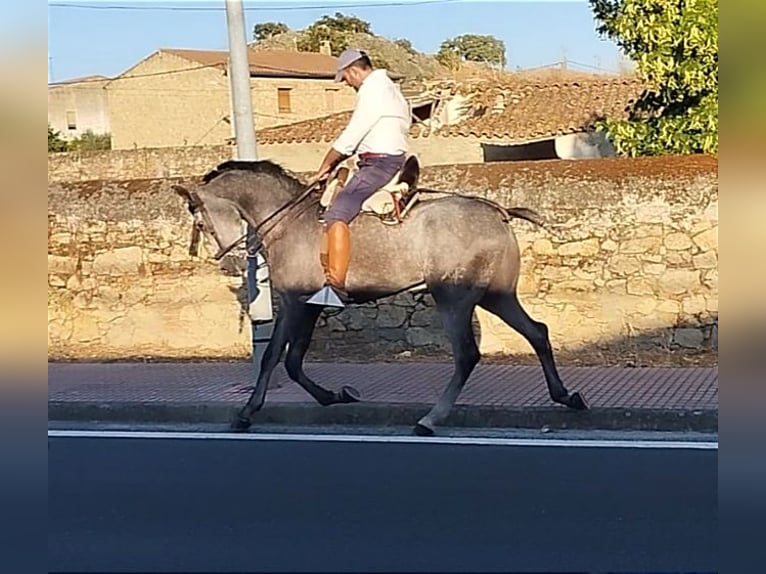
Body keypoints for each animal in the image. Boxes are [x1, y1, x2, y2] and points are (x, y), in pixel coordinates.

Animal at [174, 159, 592, 436]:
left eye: (199, 219)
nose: (223, 254)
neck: (292, 222)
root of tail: (499, 213)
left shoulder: (295, 301)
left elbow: (275, 355)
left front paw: (247, 412)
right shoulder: (310, 305)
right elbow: (293, 360)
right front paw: (334, 395)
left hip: (453, 298)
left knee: (467, 354)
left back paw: (431, 418)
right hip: (497, 296)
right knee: (537, 332)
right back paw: (566, 396)